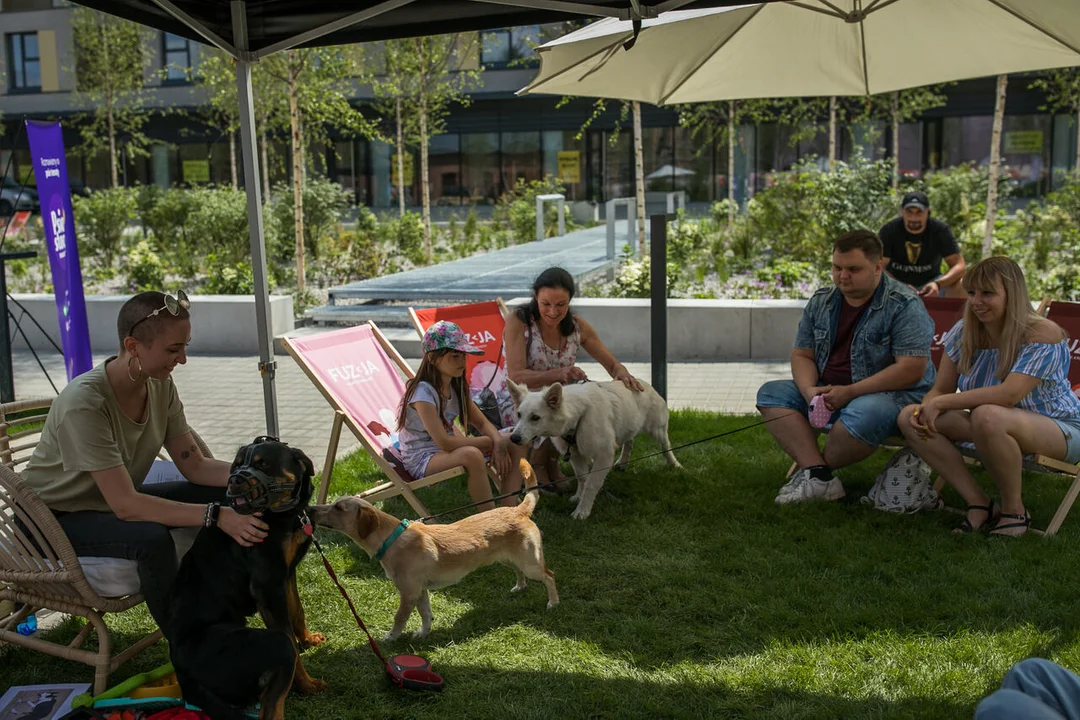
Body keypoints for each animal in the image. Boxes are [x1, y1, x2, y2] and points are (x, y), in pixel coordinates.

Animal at [166, 440, 326, 720]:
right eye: (237, 464)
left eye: (263, 464)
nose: (233, 480)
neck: (283, 515)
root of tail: (181, 674)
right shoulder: (268, 586)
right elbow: (292, 643)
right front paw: (306, 684)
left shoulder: (286, 575)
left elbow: (298, 611)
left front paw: (308, 639)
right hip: (269, 646)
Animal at [306, 459, 552, 639]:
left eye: (339, 508)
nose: (310, 509)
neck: (391, 538)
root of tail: (518, 510)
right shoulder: (421, 591)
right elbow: (426, 614)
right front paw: (423, 633)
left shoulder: (408, 593)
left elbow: (399, 619)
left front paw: (390, 638)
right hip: (510, 559)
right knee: (519, 572)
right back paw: (520, 587)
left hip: (531, 563)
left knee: (549, 576)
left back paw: (553, 602)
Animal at [509, 379, 678, 520]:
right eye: (519, 415)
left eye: (535, 417)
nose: (513, 438)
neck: (578, 414)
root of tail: (644, 383)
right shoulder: (576, 455)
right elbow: (582, 478)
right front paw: (579, 496)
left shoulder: (603, 456)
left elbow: (591, 483)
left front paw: (582, 510)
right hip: (628, 429)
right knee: (629, 442)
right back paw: (623, 462)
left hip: (657, 431)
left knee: (666, 447)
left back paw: (674, 464)